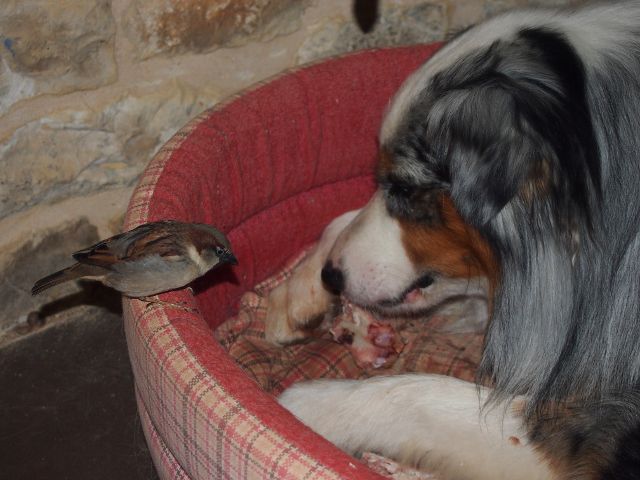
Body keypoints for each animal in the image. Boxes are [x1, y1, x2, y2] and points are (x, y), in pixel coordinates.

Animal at [268, 2, 640, 479]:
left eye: (405, 188)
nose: (332, 276)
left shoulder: (586, 430)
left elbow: (419, 394)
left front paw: (304, 407)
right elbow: (341, 219)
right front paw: (297, 294)